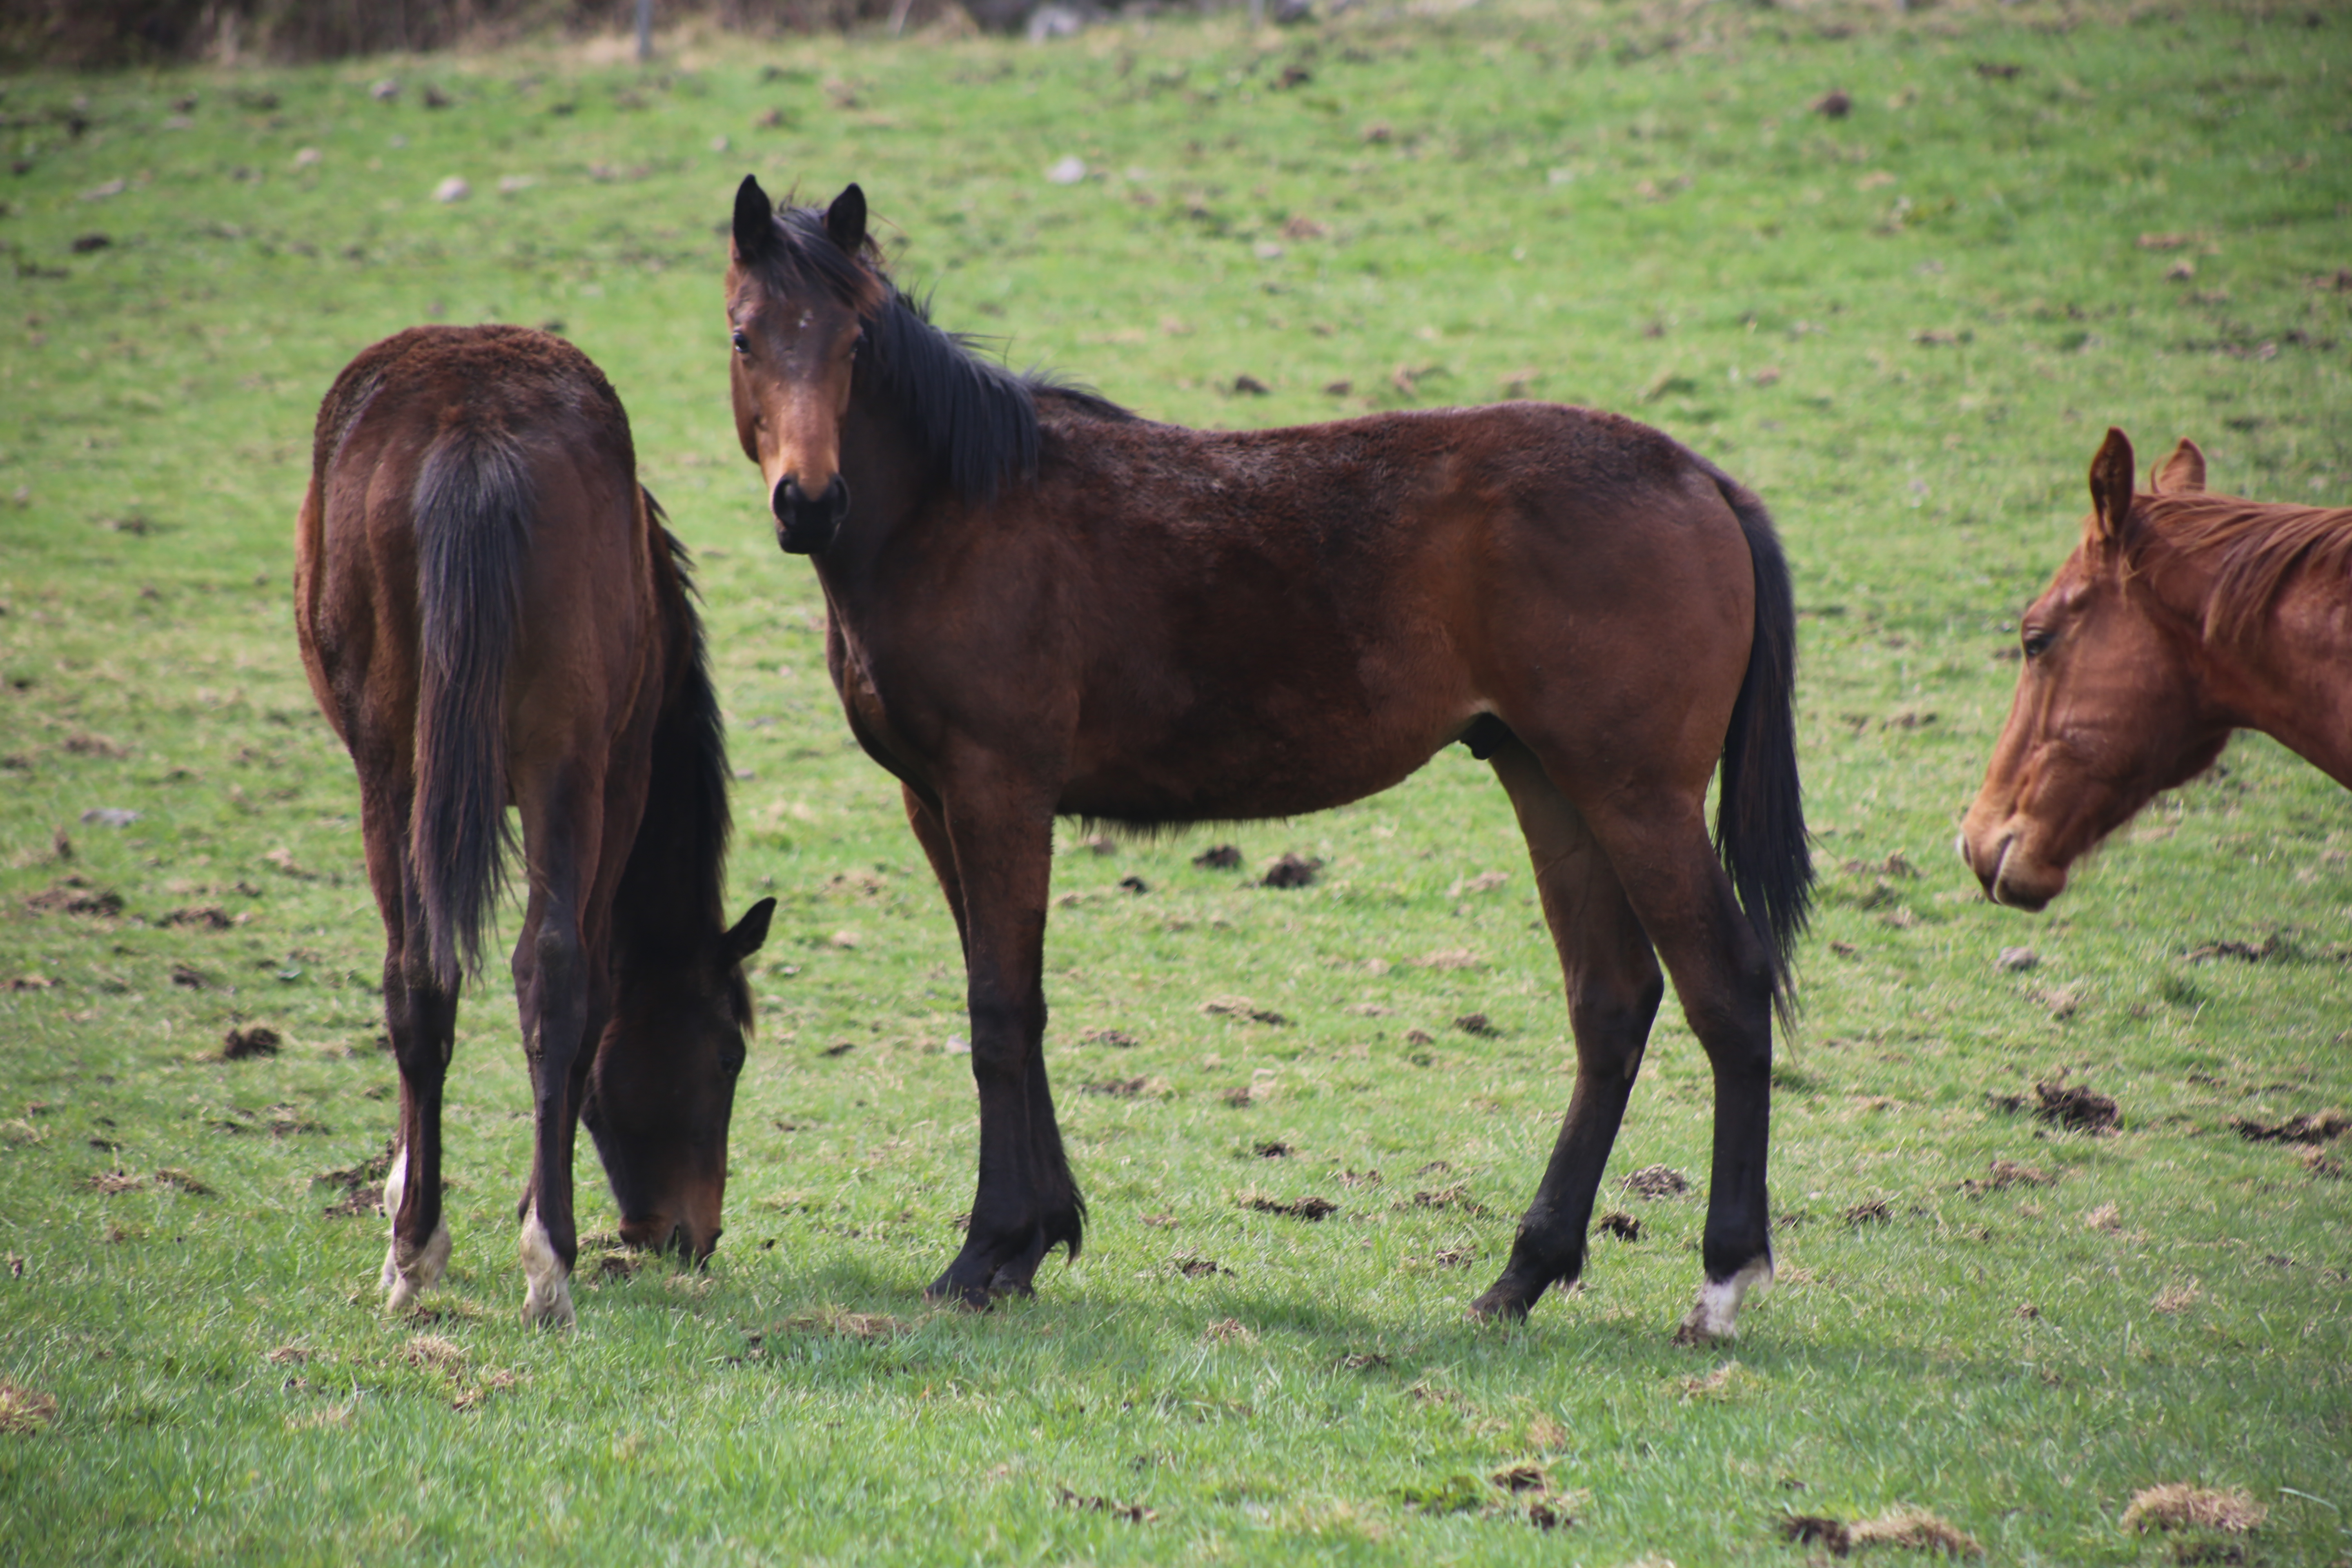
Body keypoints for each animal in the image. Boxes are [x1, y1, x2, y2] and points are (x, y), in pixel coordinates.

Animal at [293, 329, 771, 1326]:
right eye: (727, 1057)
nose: (689, 1236)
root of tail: (474, 434)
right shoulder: (622, 780)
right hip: (549, 773)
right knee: (500, 972)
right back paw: (521, 1255)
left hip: (412, 770)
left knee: (439, 969)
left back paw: (447, 1251)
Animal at [724, 177, 1806, 1345]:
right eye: (744, 335)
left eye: (854, 342)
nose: (808, 501)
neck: (955, 510)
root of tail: (1700, 478)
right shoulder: (936, 803)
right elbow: (1012, 997)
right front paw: (1035, 1235)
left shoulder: (996, 789)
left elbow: (1001, 1012)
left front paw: (986, 1249)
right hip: (1551, 783)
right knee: (1610, 1002)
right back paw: (1520, 1273)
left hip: (1637, 797)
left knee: (1726, 991)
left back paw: (1721, 1280)